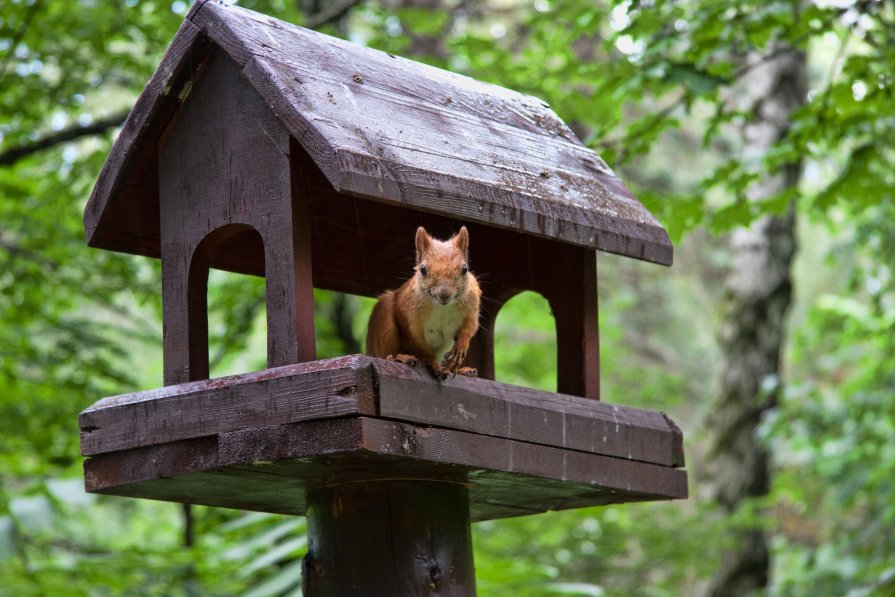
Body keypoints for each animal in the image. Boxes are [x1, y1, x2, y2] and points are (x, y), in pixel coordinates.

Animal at [368, 226, 484, 374]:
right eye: (423, 269)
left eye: (464, 269)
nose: (444, 294)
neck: (443, 307)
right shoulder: (409, 315)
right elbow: (418, 341)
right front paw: (431, 361)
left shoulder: (472, 304)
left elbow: (471, 326)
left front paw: (461, 346)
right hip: (384, 317)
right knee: (384, 353)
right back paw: (399, 358)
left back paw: (463, 370)